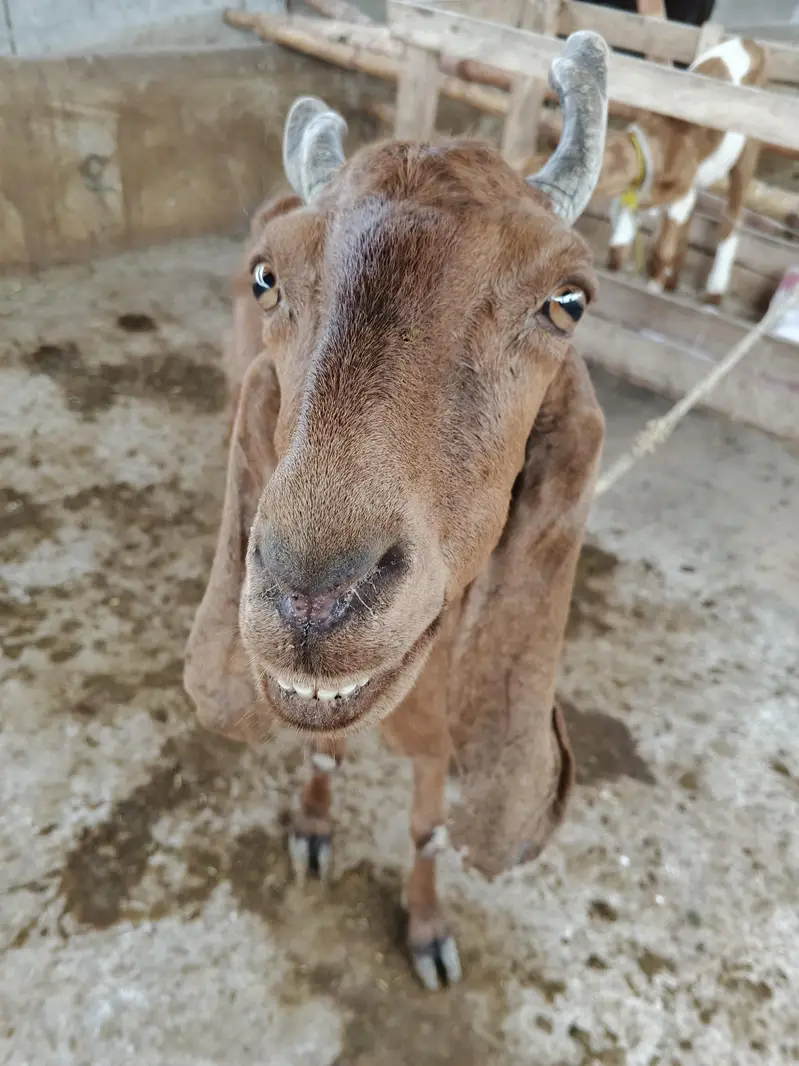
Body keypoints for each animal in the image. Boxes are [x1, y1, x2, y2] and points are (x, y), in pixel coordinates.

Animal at [184, 31, 608, 990]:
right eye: (268, 277)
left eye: (567, 300)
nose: (312, 594)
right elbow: (318, 745)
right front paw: (311, 828)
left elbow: (429, 827)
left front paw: (426, 930)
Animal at [596, 37, 767, 305]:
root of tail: (750, 42)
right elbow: (618, 248)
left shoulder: (679, 191)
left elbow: (663, 250)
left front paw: (653, 287)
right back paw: (674, 281)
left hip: (747, 153)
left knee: (733, 216)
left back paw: (714, 291)